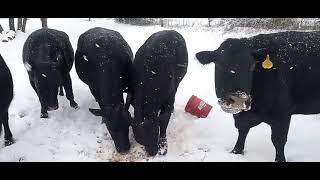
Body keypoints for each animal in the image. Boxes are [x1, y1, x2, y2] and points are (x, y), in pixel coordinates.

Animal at [196, 30, 320, 162]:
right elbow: (242, 131)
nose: (238, 99)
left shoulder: (282, 114)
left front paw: (280, 160)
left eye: (251, 66)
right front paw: (236, 151)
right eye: (219, 65)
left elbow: (278, 141)